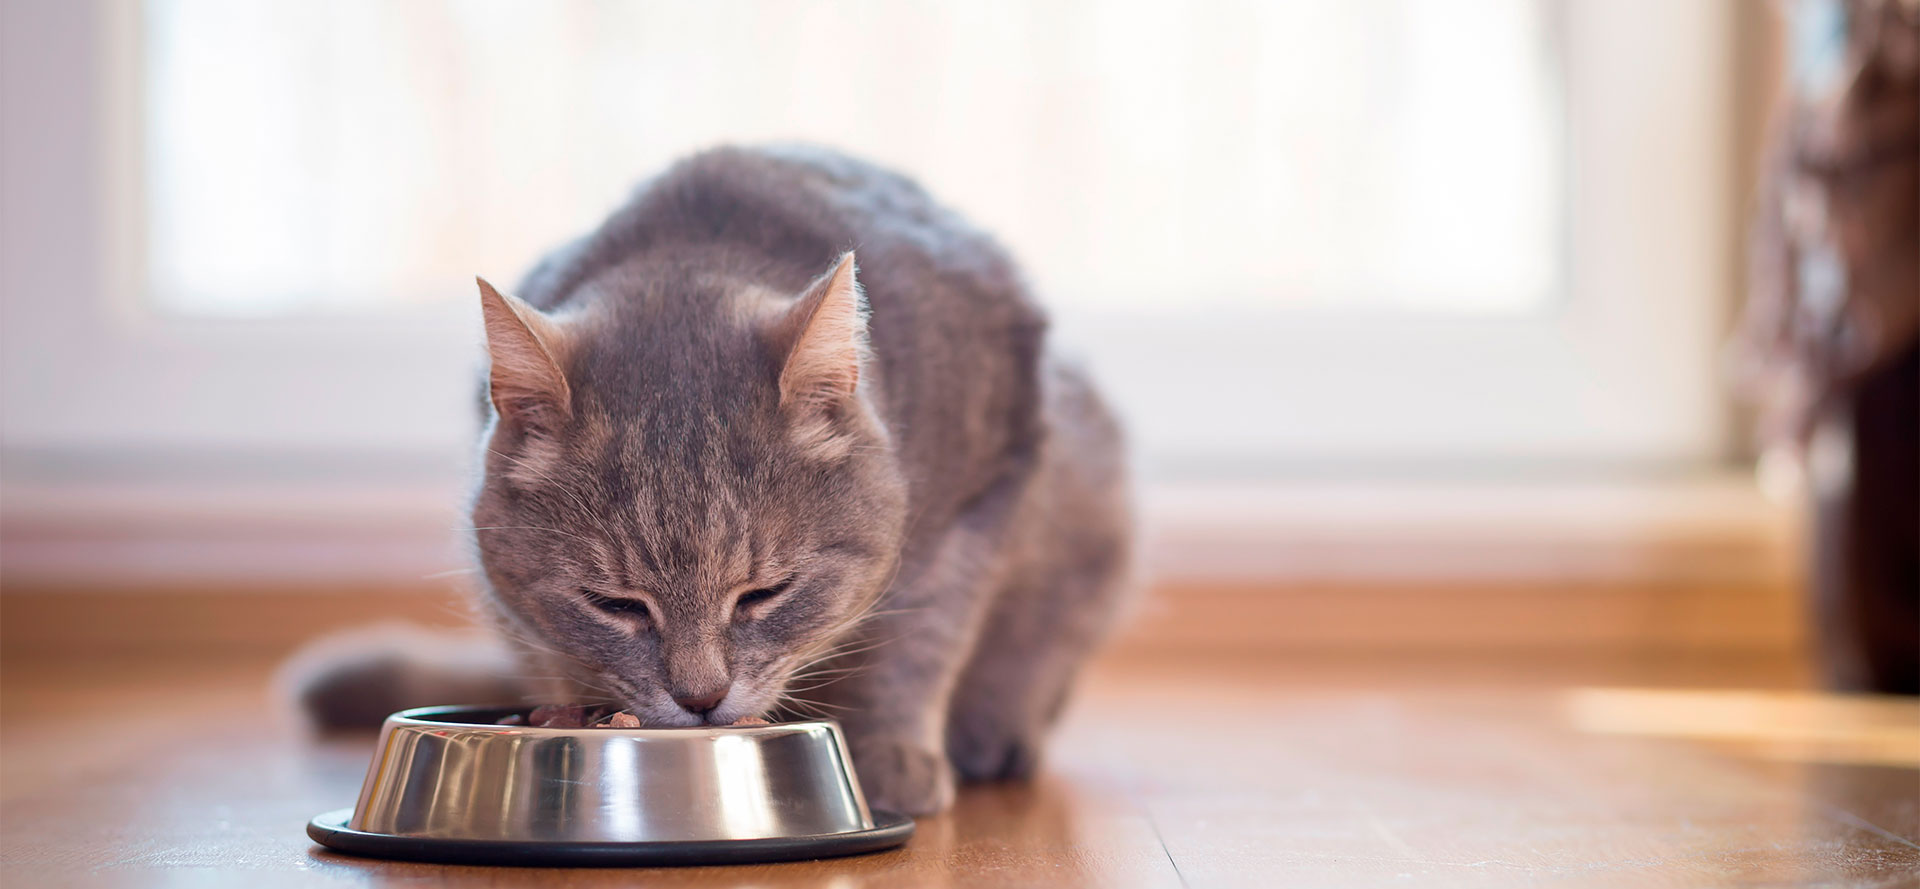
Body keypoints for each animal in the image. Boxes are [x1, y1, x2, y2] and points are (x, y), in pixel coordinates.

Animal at [293, 147, 1128, 821]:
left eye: (765, 593)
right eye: (615, 604)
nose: (700, 699)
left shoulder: (982, 493)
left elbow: (920, 639)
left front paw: (893, 752)